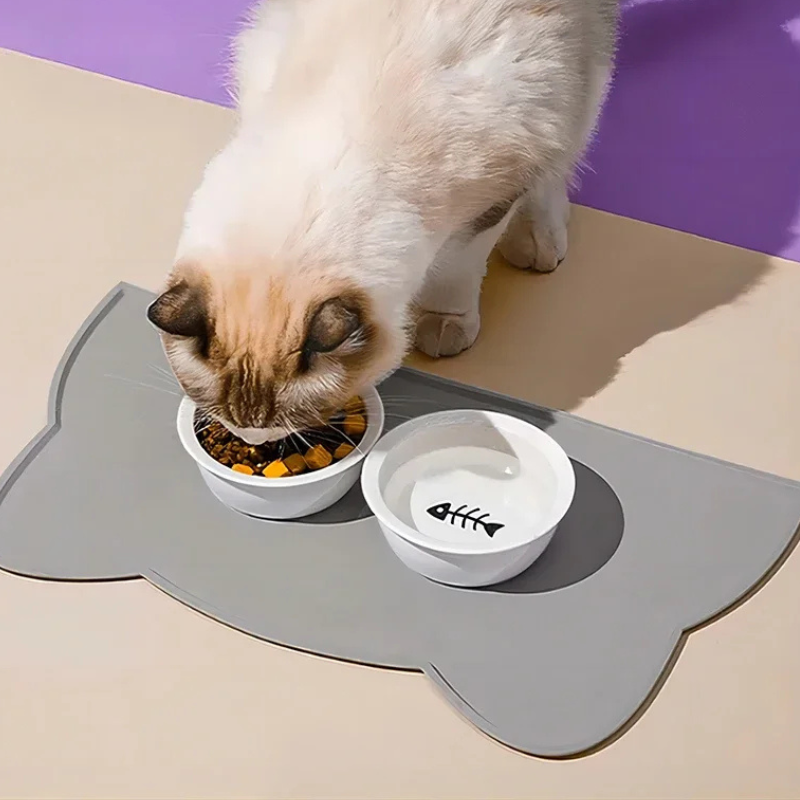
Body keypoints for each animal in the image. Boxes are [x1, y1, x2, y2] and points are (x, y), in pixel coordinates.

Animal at [147, 0, 619, 444]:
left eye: (287, 419)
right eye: (228, 416)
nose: (251, 439)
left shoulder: (488, 203)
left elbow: (455, 272)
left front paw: (444, 325)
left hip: (576, 70)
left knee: (566, 152)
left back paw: (539, 241)